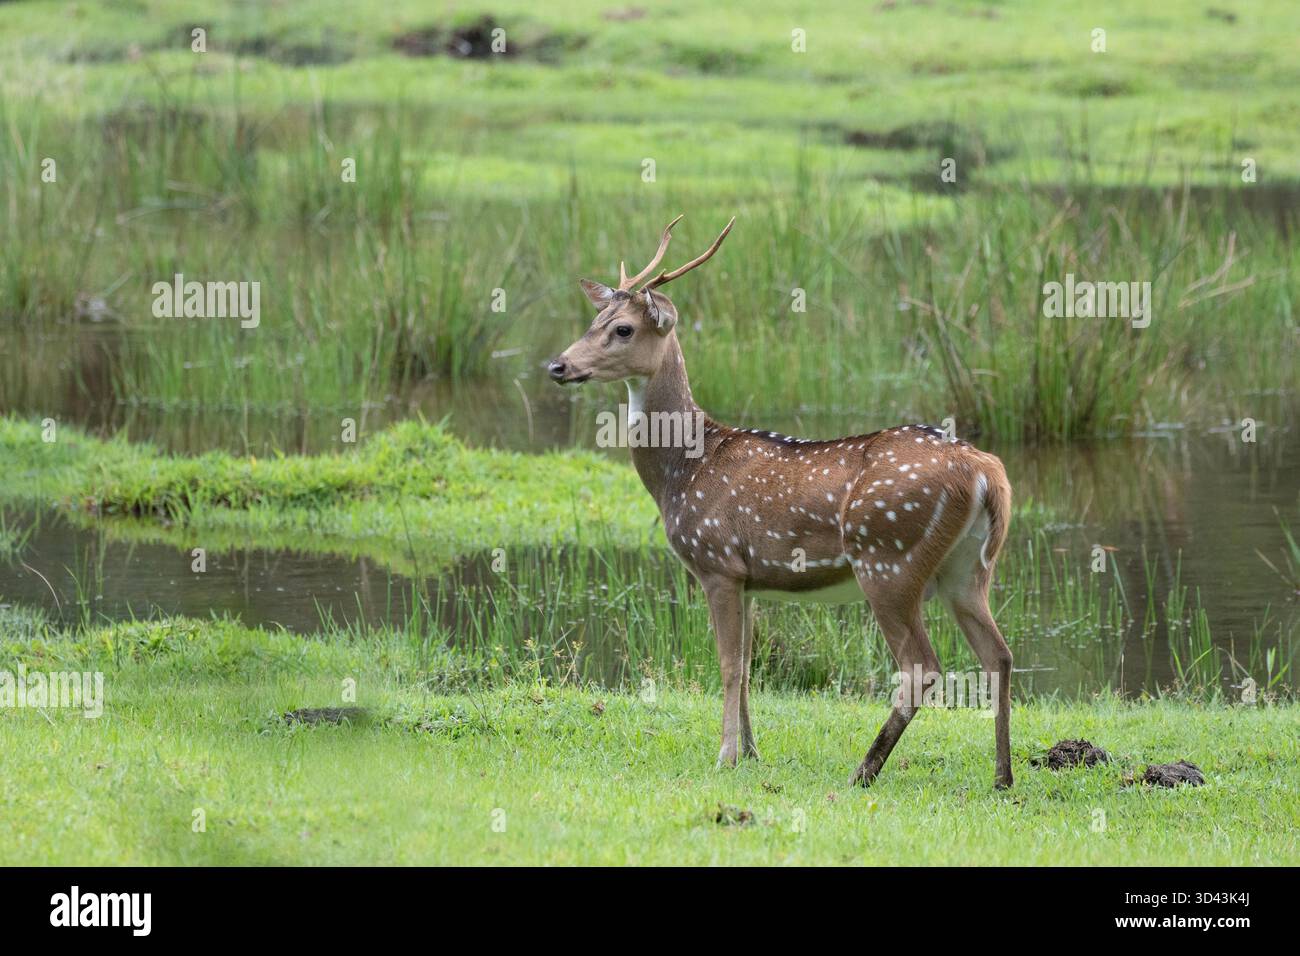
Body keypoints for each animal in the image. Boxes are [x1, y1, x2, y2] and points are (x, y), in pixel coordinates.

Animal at [547, 216, 1015, 789]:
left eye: (623, 329)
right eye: (595, 318)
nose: (558, 366)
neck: (683, 472)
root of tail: (987, 472)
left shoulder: (717, 562)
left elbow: (727, 665)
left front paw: (725, 755)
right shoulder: (750, 578)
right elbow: (749, 666)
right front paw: (751, 751)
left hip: (888, 559)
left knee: (922, 667)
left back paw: (864, 770)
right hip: (968, 569)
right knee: (999, 655)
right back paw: (1002, 777)